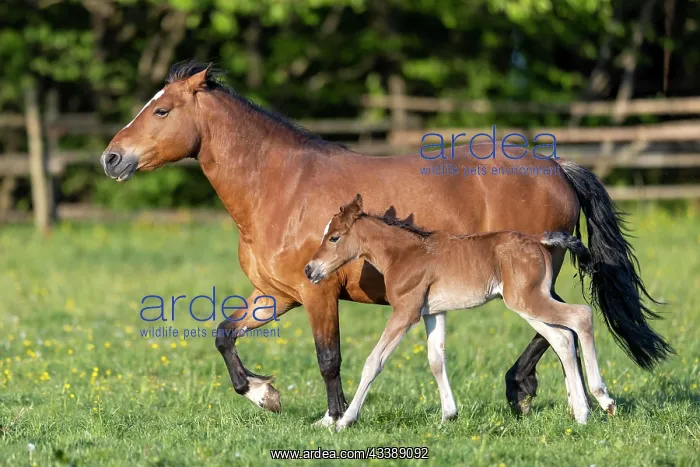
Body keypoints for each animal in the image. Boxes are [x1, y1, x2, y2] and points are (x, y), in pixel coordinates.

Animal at [305, 194, 616, 430]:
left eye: (334, 238)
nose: (310, 269)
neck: (403, 255)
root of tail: (540, 242)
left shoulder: (406, 311)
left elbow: (374, 362)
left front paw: (345, 420)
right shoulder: (433, 313)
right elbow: (436, 361)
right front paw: (448, 416)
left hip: (527, 301)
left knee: (581, 316)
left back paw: (601, 401)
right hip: (528, 303)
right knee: (562, 338)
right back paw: (582, 412)